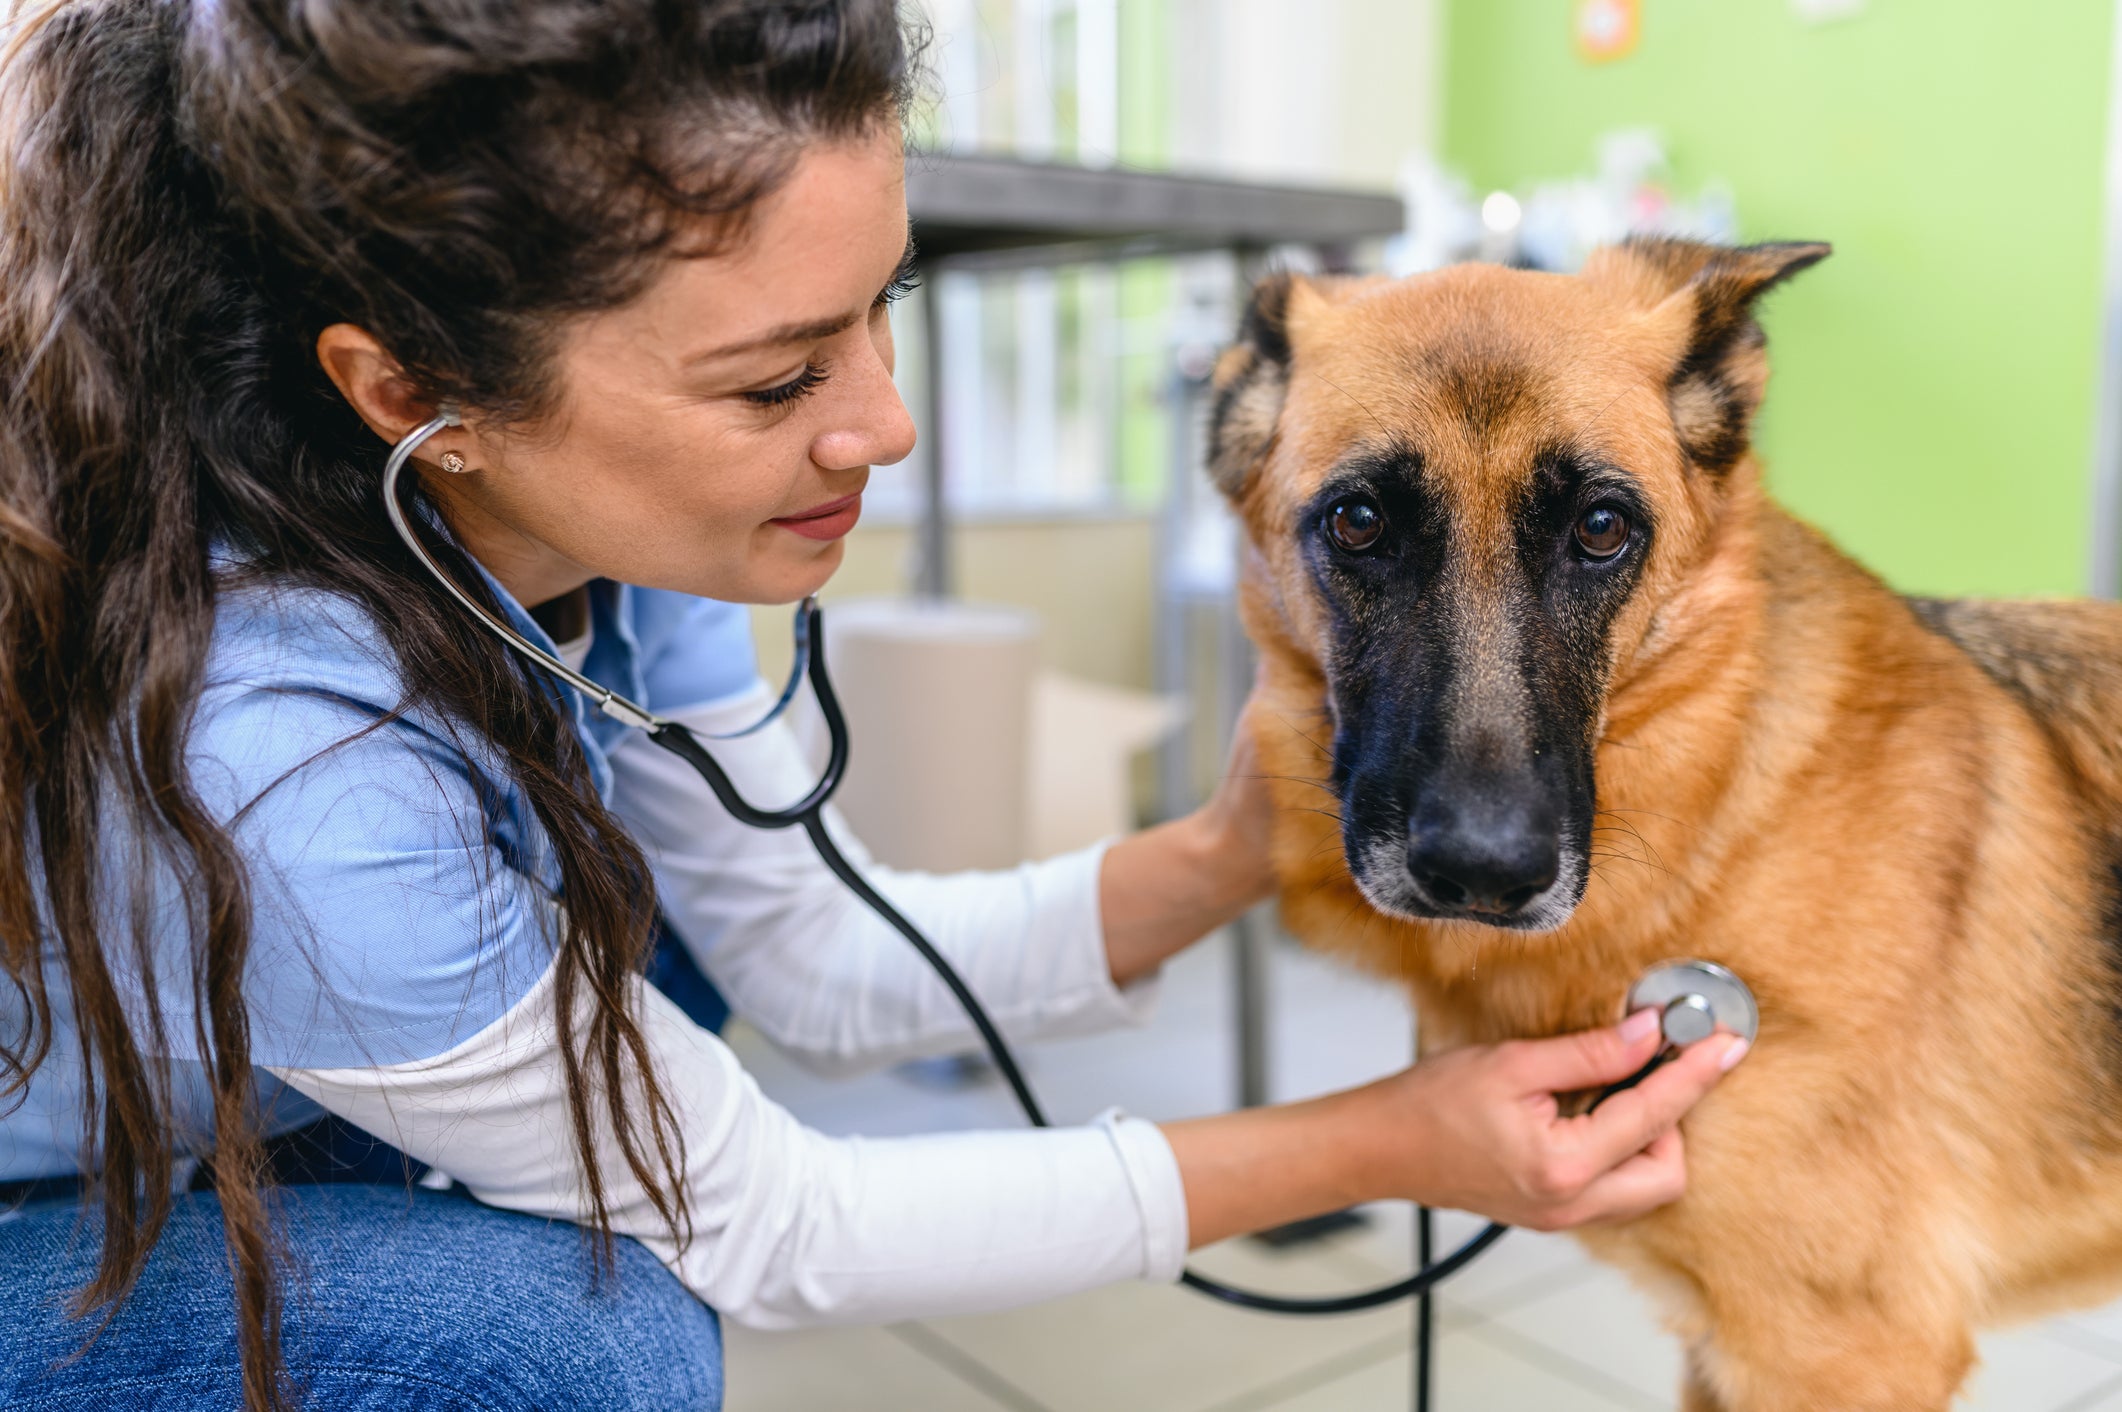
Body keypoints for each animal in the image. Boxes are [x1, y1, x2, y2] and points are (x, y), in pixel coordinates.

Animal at [1222, 236, 2122, 1401]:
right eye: (1359, 521)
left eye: (1601, 529)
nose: (1484, 870)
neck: (1725, 810)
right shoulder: (1729, 1353)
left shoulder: (1833, 1357)